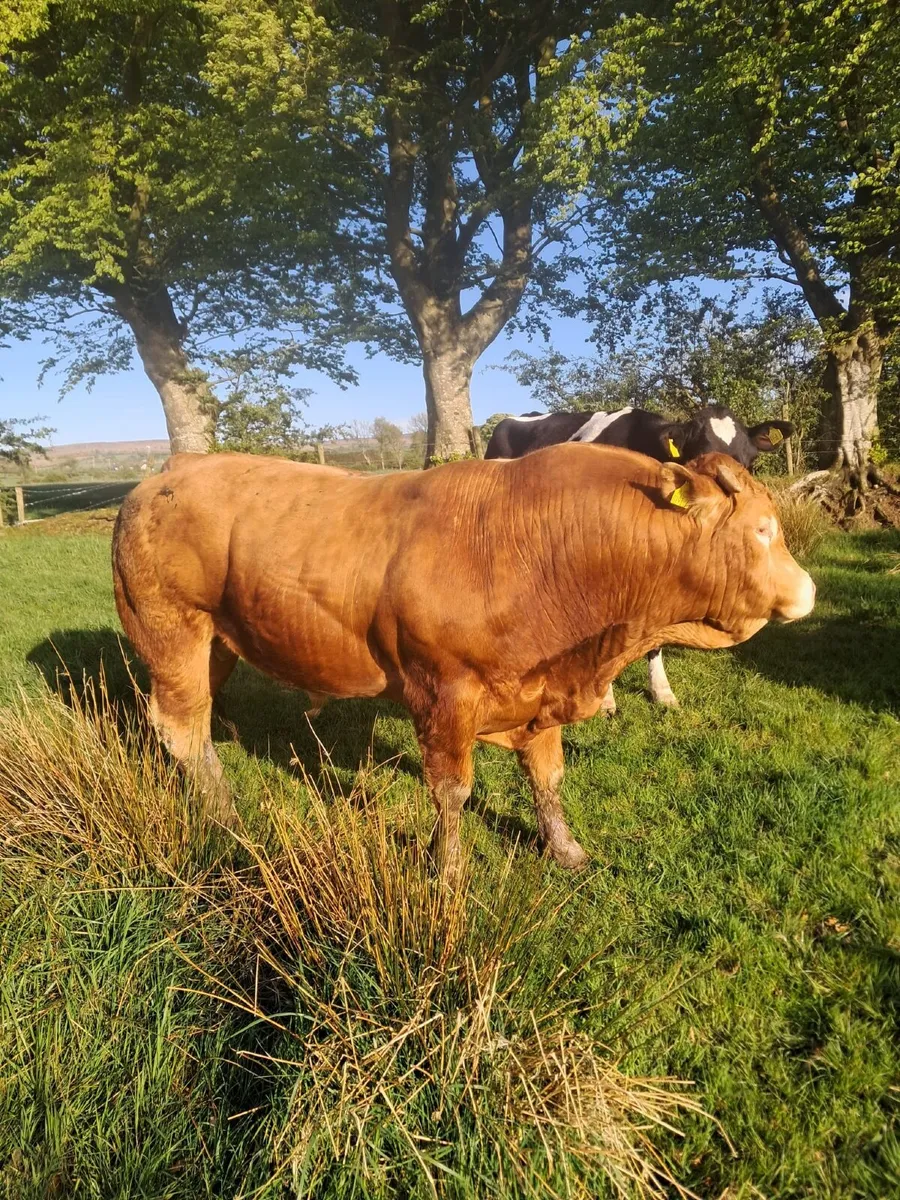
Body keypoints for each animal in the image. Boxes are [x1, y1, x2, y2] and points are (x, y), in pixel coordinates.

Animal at [112, 445, 814, 882]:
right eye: (761, 530)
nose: (807, 591)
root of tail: (173, 469)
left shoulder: (539, 690)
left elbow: (547, 777)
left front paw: (565, 849)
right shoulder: (443, 693)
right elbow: (452, 792)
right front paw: (446, 870)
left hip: (215, 643)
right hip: (171, 632)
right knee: (179, 726)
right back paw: (225, 816)